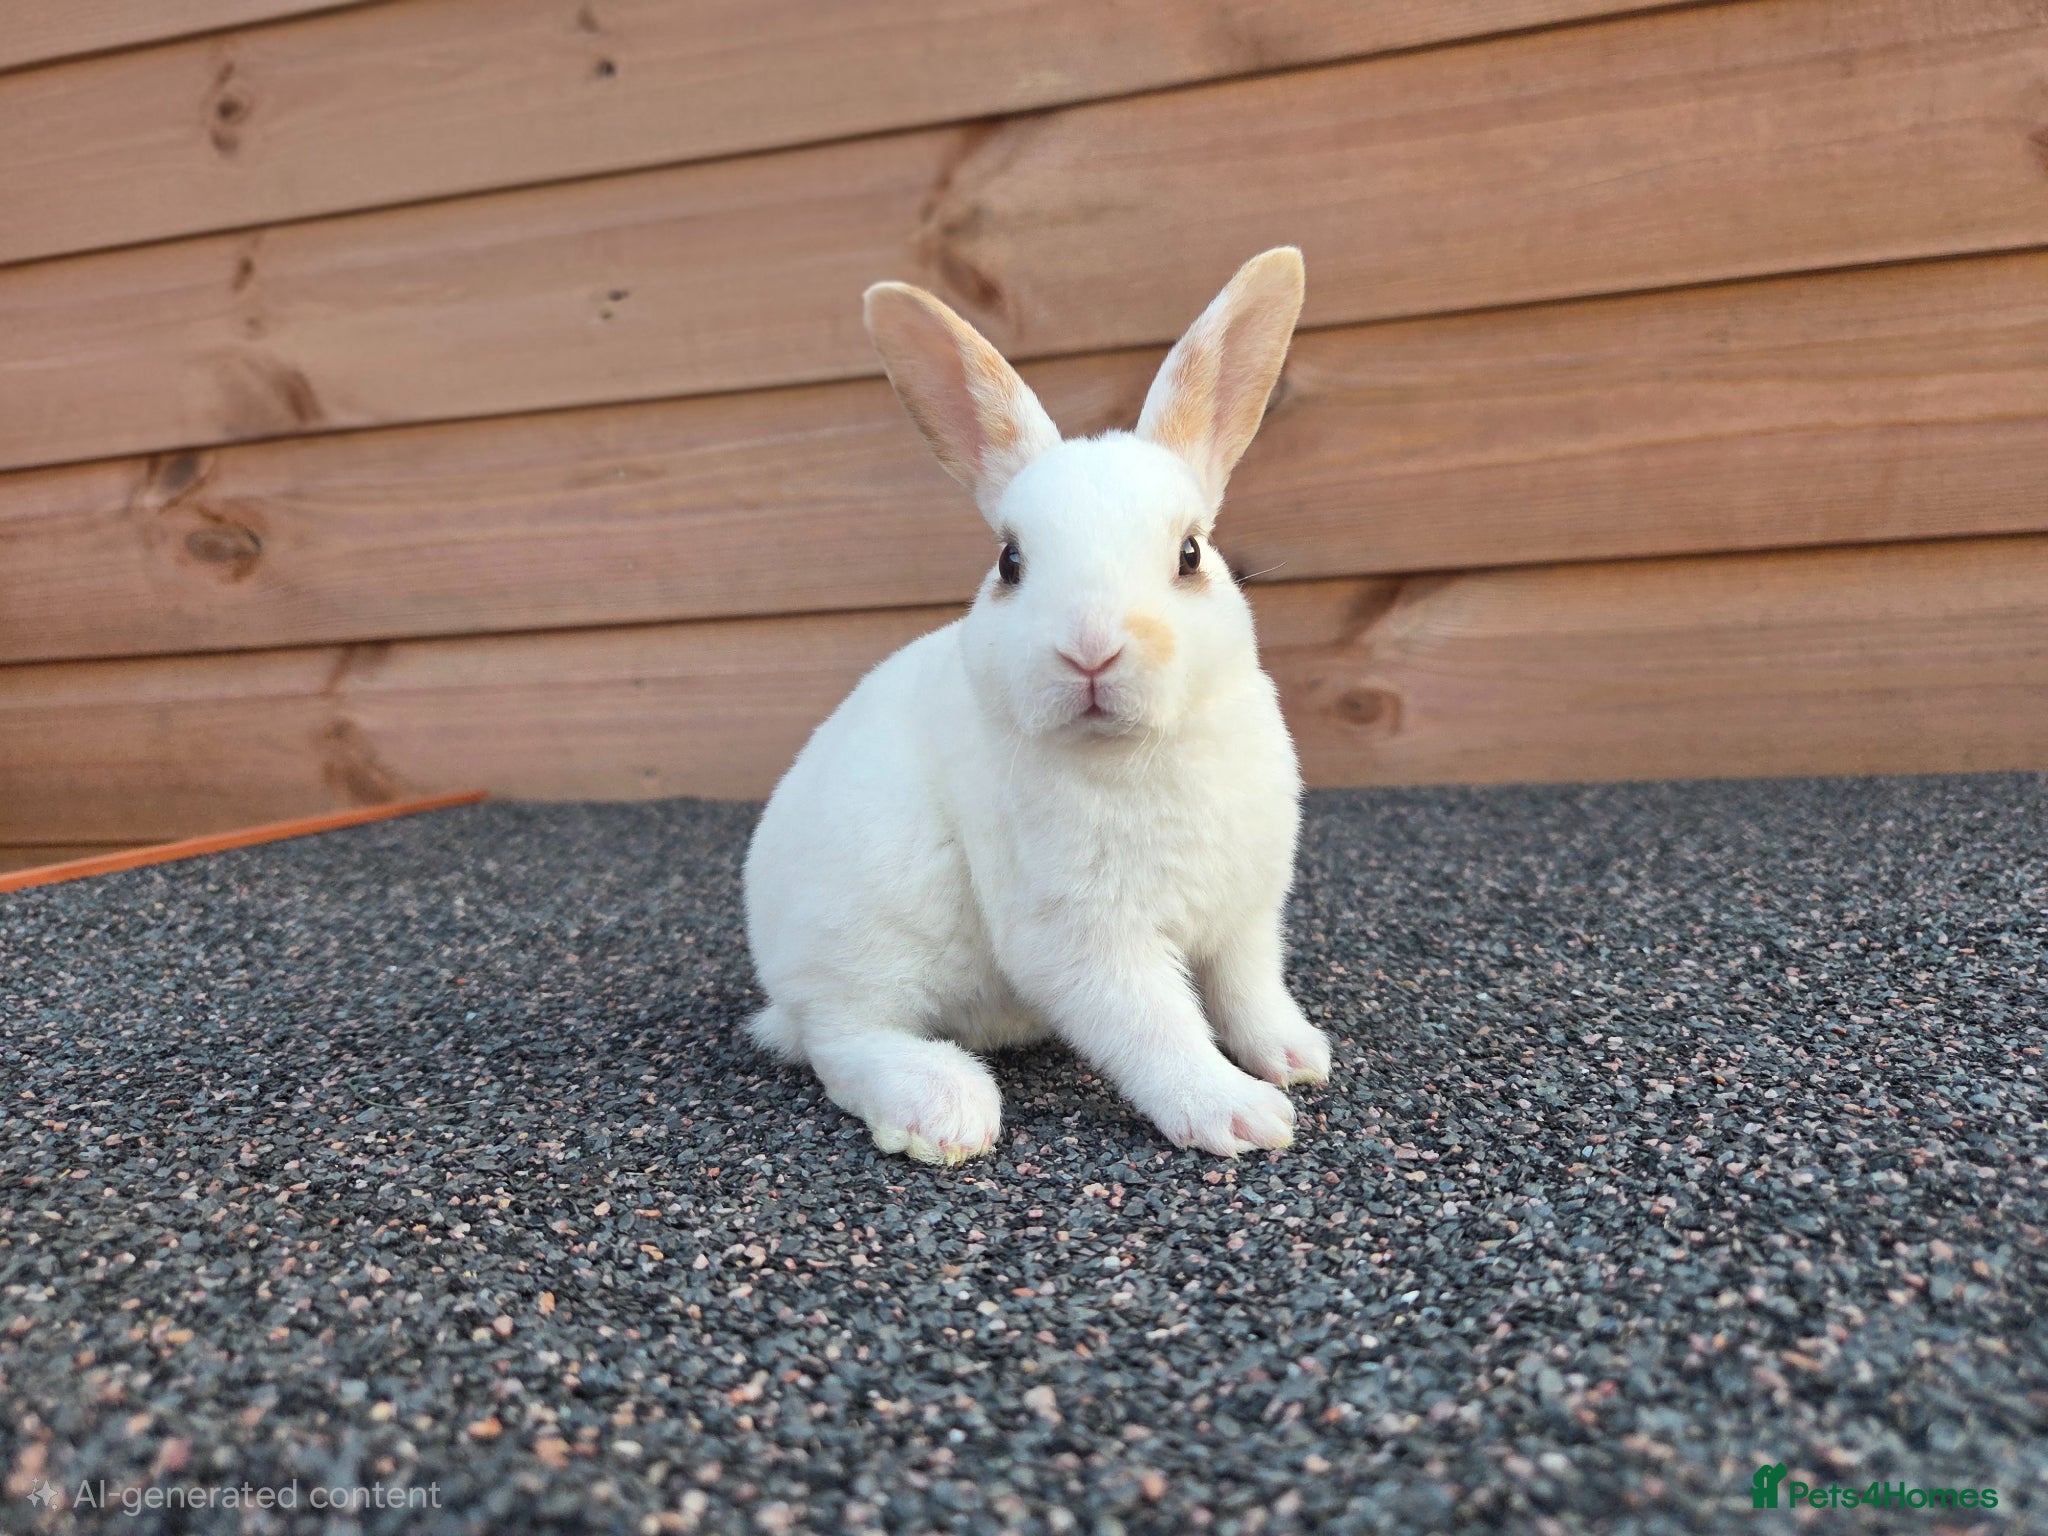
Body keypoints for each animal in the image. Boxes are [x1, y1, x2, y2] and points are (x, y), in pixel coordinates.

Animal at [743, 247, 1332, 1164]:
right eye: (1010, 563)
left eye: (1191, 554)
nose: (1089, 649)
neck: (1143, 750)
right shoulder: (1083, 940)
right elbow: (1156, 1029)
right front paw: (1237, 1114)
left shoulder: (1245, 916)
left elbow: (1249, 992)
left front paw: (1297, 1058)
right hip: (864, 934)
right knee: (842, 1038)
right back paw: (942, 1108)